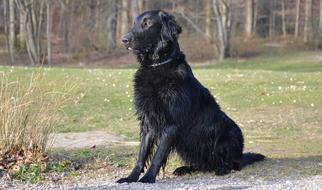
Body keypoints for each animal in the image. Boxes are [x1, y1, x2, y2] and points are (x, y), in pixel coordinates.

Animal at [117, 10, 262, 184]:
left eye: (147, 24)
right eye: (134, 23)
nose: (124, 39)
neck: (156, 66)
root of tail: (240, 156)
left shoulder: (171, 124)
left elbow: (158, 156)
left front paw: (148, 178)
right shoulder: (147, 122)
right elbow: (141, 155)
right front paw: (131, 177)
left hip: (228, 134)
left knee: (231, 164)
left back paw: (222, 168)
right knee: (203, 164)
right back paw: (185, 169)